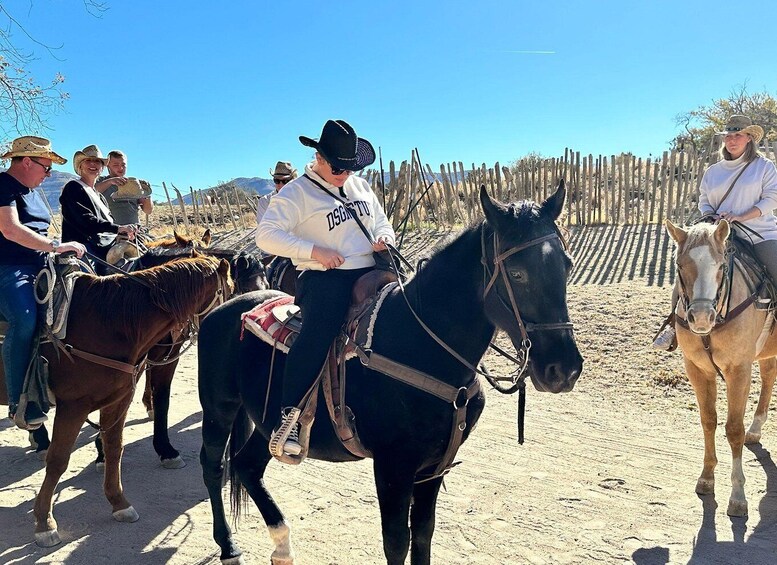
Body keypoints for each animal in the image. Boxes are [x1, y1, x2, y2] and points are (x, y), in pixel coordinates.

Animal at [32, 253, 233, 544]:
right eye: (231, 289)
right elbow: (58, 460)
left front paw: (119, 503)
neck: (112, 322)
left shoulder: (119, 400)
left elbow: (115, 449)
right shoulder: (73, 406)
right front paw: (44, 522)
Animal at [197, 185, 580, 564]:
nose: (564, 369)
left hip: (265, 424)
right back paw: (228, 545)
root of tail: (223, 311)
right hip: (219, 409)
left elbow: (423, 533)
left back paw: (282, 545)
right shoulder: (393, 468)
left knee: (247, 466)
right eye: (516, 273)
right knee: (213, 466)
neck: (422, 343)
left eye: (567, 264)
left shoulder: (434, 467)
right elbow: (397, 542)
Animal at [668, 219, 776, 516]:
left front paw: (738, 496)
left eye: (720, 266)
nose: (701, 317)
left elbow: (734, 429)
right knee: (769, 375)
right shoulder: (697, 370)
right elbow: (708, 421)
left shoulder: (738, 371)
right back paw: (756, 428)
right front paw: (706, 478)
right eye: (681, 265)